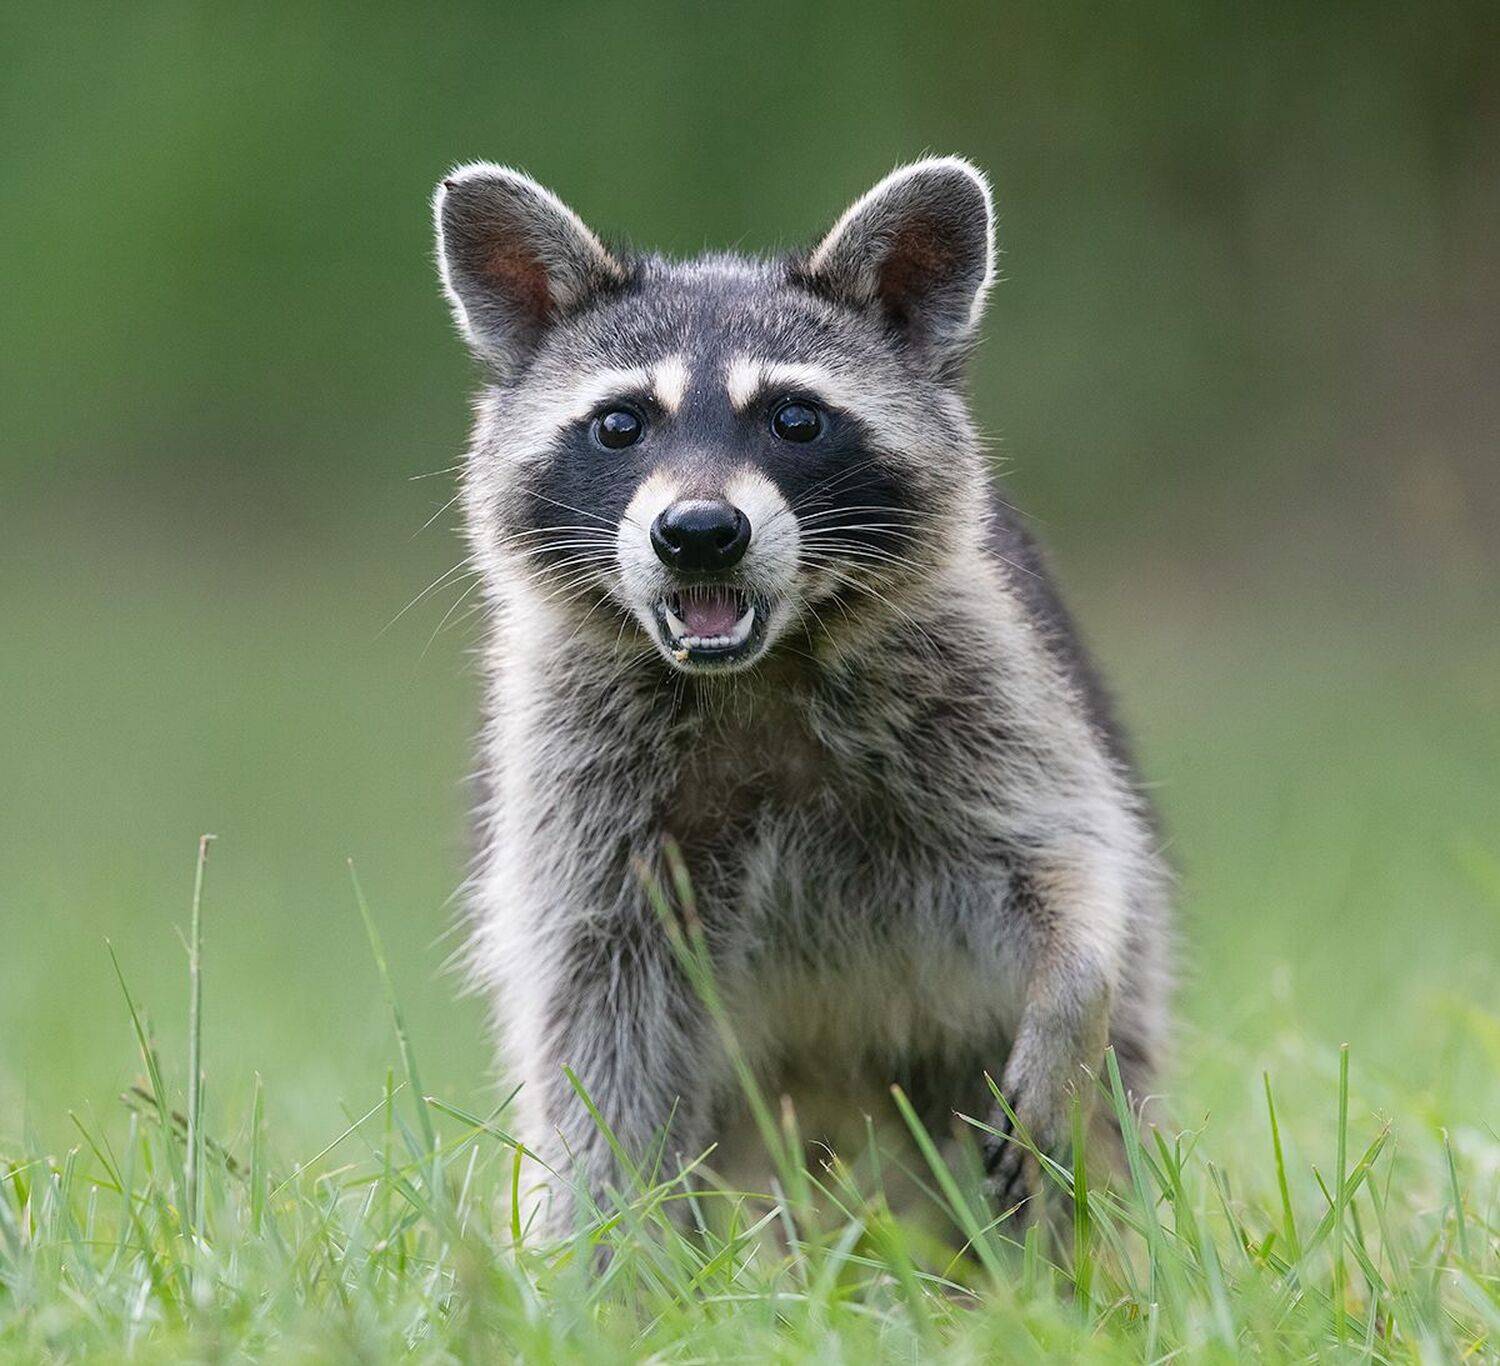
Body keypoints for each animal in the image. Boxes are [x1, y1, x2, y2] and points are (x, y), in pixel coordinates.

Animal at [433, 157, 1171, 1237]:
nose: (699, 533)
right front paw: (607, 1253)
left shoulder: (989, 677)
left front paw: (1071, 988)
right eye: (620, 424)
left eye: (794, 418)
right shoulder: (573, 780)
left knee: (1096, 1131)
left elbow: (1071, 855)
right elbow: (596, 1030)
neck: (751, 671)